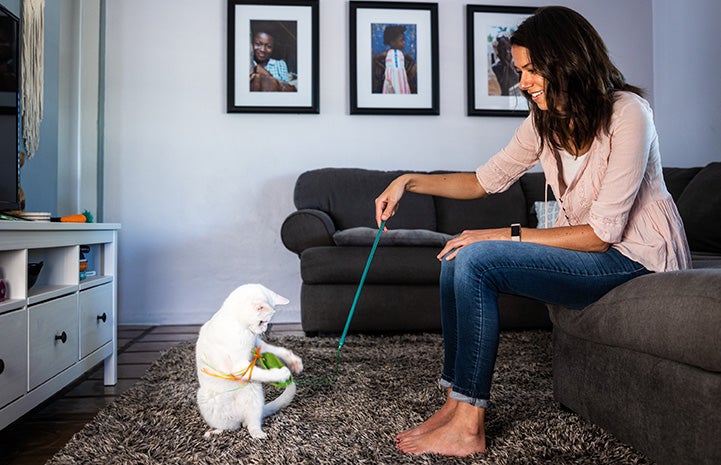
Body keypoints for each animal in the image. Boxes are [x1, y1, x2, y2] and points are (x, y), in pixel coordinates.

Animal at [194, 282, 300, 438]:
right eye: (262, 321)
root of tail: (238, 418)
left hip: (254, 392)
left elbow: (276, 350)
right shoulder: (239, 367)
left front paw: (294, 361)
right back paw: (214, 433)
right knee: (229, 426)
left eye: (268, 322)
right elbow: (265, 372)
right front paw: (282, 373)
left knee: (251, 423)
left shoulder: (257, 345)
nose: (264, 329)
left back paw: (258, 434)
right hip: (205, 398)